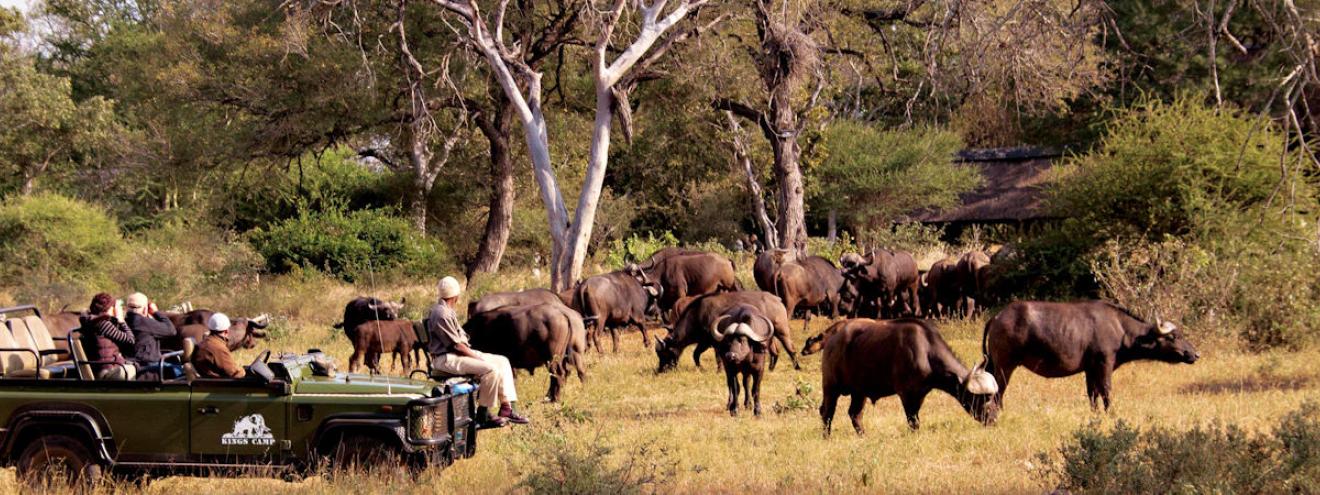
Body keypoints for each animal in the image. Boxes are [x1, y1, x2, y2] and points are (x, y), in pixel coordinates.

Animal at [820, 318, 997, 435]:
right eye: (983, 399)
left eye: (994, 397)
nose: (993, 420)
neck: (926, 351)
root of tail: (832, 338)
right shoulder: (906, 394)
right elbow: (913, 422)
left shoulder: (919, 395)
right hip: (831, 387)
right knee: (826, 412)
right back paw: (827, 436)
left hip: (859, 392)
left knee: (854, 414)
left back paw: (863, 435)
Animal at [976, 301, 1200, 422]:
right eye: (1174, 337)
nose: (1195, 354)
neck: (1120, 330)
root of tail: (997, 317)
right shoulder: (1104, 364)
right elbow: (1106, 391)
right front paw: (1111, 413)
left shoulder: (1090, 369)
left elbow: (1093, 394)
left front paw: (1095, 414)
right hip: (1005, 365)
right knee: (999, 391)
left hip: (993, 363)